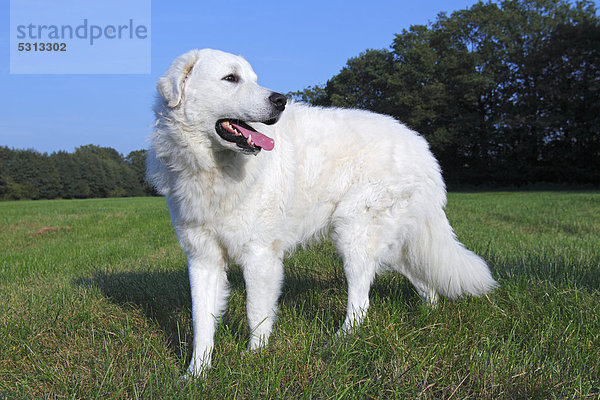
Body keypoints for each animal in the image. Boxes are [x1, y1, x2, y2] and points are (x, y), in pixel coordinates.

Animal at [146, 49, 496, 378]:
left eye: (254, 78)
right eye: (231, 78)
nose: (280, 100)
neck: (214, 169)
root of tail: (421, 147)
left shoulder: (259, 255)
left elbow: (255, 314)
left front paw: (254, 362)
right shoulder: (202, 258)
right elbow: (201, 322)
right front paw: (196, 374)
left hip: (354, 233)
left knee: (361, 302)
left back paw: (338, 343)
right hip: (391, 243)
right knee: (423, 281)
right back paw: (428, 316)